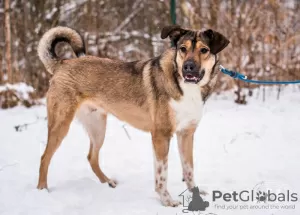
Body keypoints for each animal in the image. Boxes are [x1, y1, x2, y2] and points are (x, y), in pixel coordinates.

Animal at [37, 24, 230, 207]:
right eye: (183, 48)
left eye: (204, 50)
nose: (188, 67)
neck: (185, 86)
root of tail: (62, 63)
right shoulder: (161, 136)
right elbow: (162, 175)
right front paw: (166, 201)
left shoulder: (186, 134)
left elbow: (189, 168)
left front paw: (194, 193)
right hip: (61, 125)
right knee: (44, 157)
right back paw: (42, 190)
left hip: (98, 128)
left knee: (91, 157)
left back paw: (107, 182)